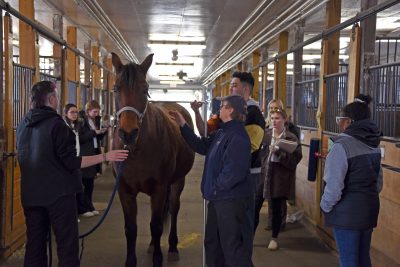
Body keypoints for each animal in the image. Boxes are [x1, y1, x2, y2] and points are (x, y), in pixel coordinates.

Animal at [111, 52, 195, 267]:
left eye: (145, 89)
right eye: (116, 88)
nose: (128, 133)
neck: (137, 151)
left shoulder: (160, 188)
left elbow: (156, 226)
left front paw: (158, 258)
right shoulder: (124, 190)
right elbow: (131, 228)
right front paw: (130, 261)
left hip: (177, 181)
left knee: (173, 208)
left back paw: (172, 247)